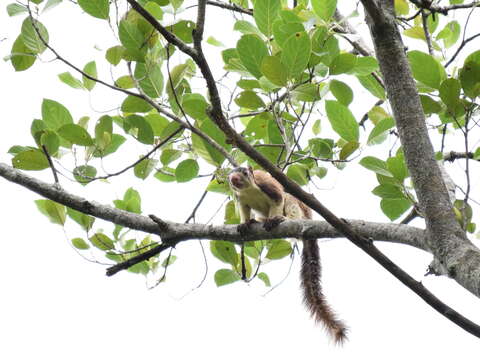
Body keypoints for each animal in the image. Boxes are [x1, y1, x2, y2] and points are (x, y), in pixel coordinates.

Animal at [227, 167, 346, 344]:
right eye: (230, 175)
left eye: (244, 173)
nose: (234, 178)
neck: (249, 190)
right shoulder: (240, 199)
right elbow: (244, 210)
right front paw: (245, 223)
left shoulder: (268, 187)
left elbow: (278, 199)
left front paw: (274, 219)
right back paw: (256, 221)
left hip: (297, 208)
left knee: (289, 200)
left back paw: (282, 218)